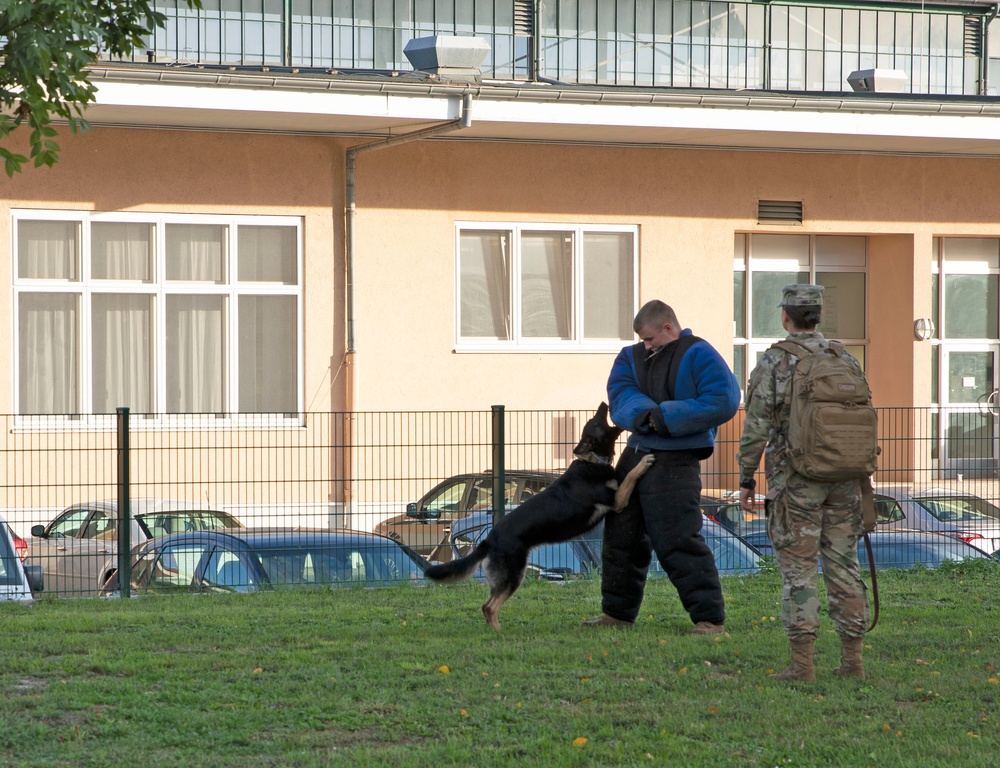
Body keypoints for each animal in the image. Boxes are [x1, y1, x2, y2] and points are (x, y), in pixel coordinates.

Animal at [424, 402, 652, 632]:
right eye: (596, 421)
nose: (604, 404)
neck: (591, 462)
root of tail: (489, 540)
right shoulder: (617, 501)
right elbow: (630, 476)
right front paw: (643, 462)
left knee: (487, 605)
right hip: (513, 575)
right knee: (489, 607)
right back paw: (499, 631)